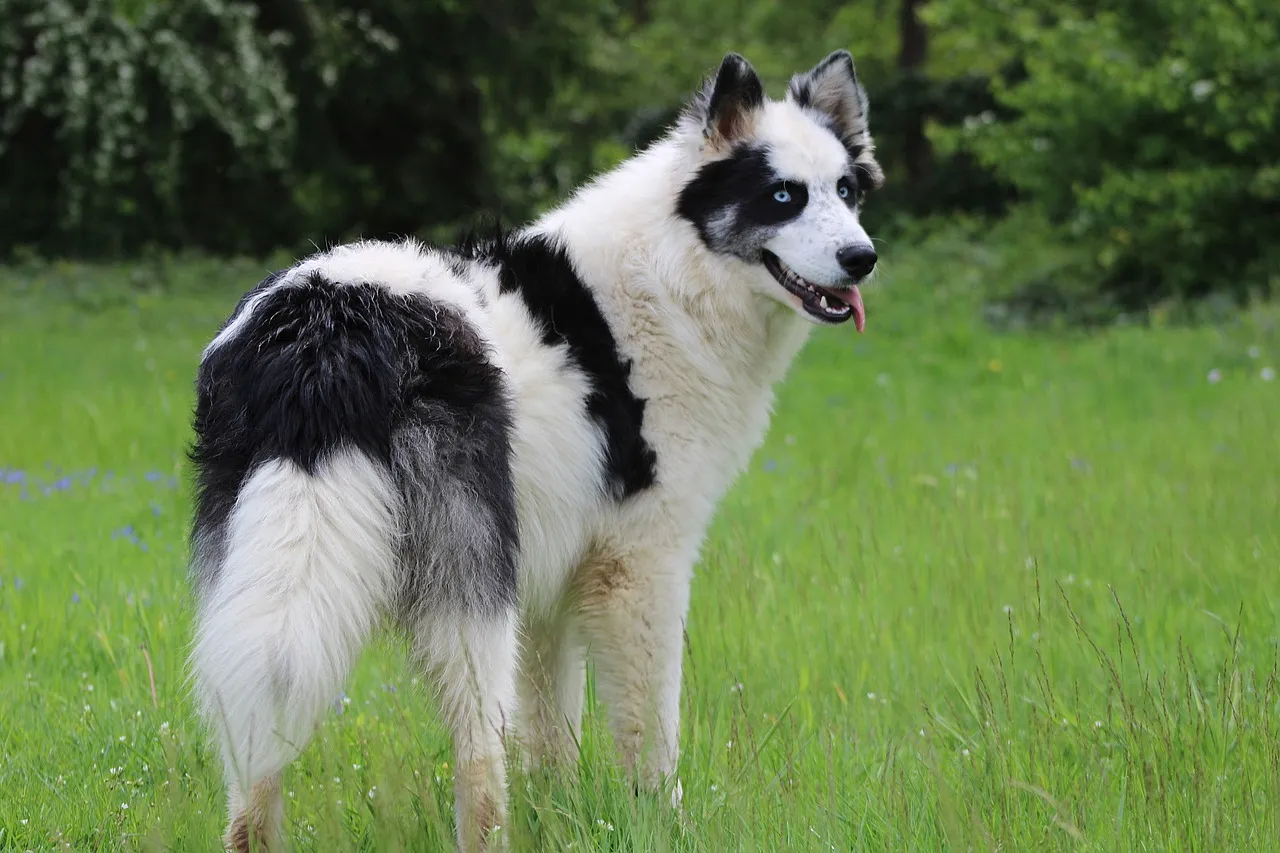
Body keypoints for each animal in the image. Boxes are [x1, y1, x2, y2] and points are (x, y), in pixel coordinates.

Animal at [189, 49, 885, 845]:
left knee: (254, 775)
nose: (862, 257)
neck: (674, 269)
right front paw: (662, 823)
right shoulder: (640, 569)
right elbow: (650, 733)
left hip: (264, 594)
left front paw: (565, 816)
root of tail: (328, 327)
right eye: (782, 196)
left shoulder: (549, 587)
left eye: (846, 191)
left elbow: (553, 738)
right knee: (478, 767)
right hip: (469, 599)